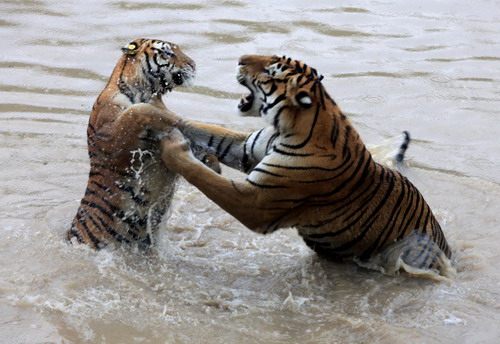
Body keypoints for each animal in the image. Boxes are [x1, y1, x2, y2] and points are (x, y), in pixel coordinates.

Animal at [67, 39, 220, 250]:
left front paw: (213, 163)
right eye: (168, 52)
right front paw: (174, 118)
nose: (193, 65)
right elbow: (138, 111)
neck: (146, 91)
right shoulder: (115, 140)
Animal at [161, 54, 454, 276]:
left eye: (269, 70)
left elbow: (202, 176)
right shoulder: (245, 149)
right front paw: (157, 114)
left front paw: (172, 146)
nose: (240, 59)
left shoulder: (255, 201)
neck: (285, 127)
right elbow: (200, 129)